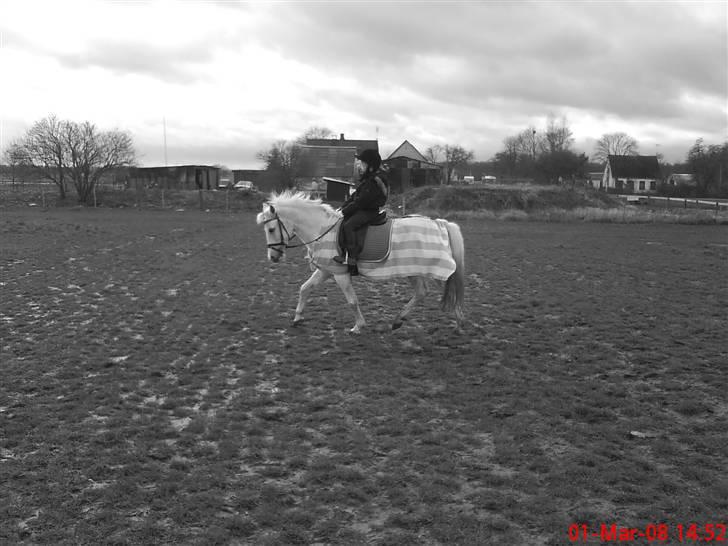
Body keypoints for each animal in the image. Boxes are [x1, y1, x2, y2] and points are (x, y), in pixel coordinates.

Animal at [258, 189, 466, 334]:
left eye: (270, 229)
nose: (273, 258)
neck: (323, 230)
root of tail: (439, 224)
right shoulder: (326, 270)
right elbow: (304, 288)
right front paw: (297, 318)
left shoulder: (340, 274)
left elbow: (352, 301)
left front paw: (358, 326)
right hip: (415, 270)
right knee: (424, 292)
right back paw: (400, 320)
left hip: (430, 269)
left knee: (447, 290)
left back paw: (458, 322)